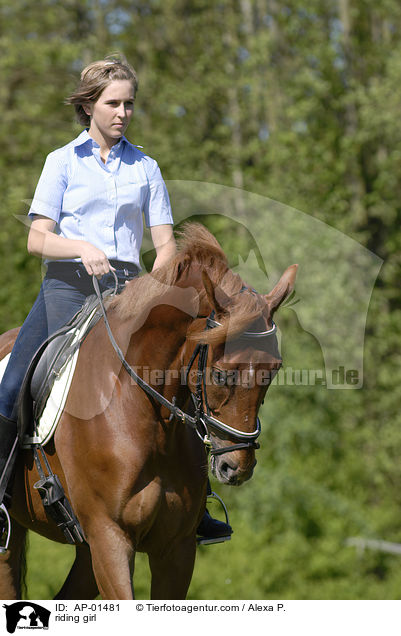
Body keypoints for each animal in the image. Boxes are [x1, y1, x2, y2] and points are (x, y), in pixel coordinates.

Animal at [0, 226, 294, 600]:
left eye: (273, 371)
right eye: (220, 374)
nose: (237, 467)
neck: (146, 416)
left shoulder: (176, 547)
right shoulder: (109, 537)